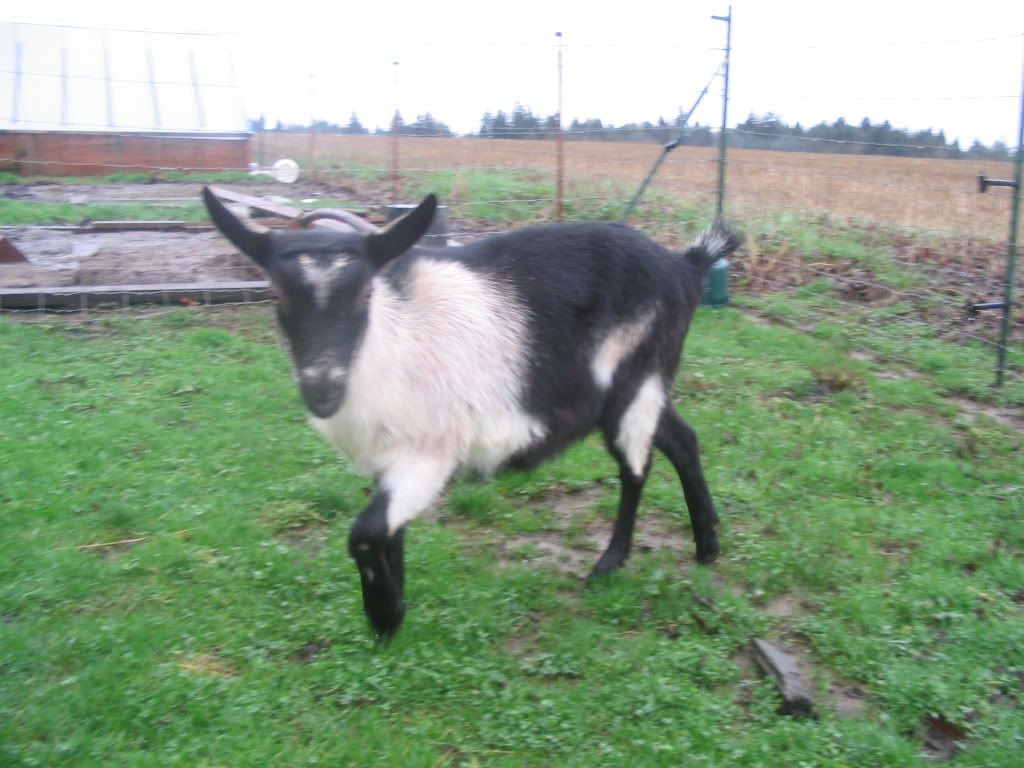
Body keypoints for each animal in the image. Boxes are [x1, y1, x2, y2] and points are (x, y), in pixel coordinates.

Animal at [202, 188, 741, 638]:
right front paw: (395, 602)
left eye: (366, 292)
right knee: (681, 439)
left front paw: (384, 615)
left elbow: (367, 533)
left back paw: (610, 563)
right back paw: (707, 543)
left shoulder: (432, 448)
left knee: (636, 465)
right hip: (641, 386)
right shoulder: (390, 456)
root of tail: (684, 266)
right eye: (275, 294)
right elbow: (389, 529)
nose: (322, 388)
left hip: (636, 376)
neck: (391, 342)